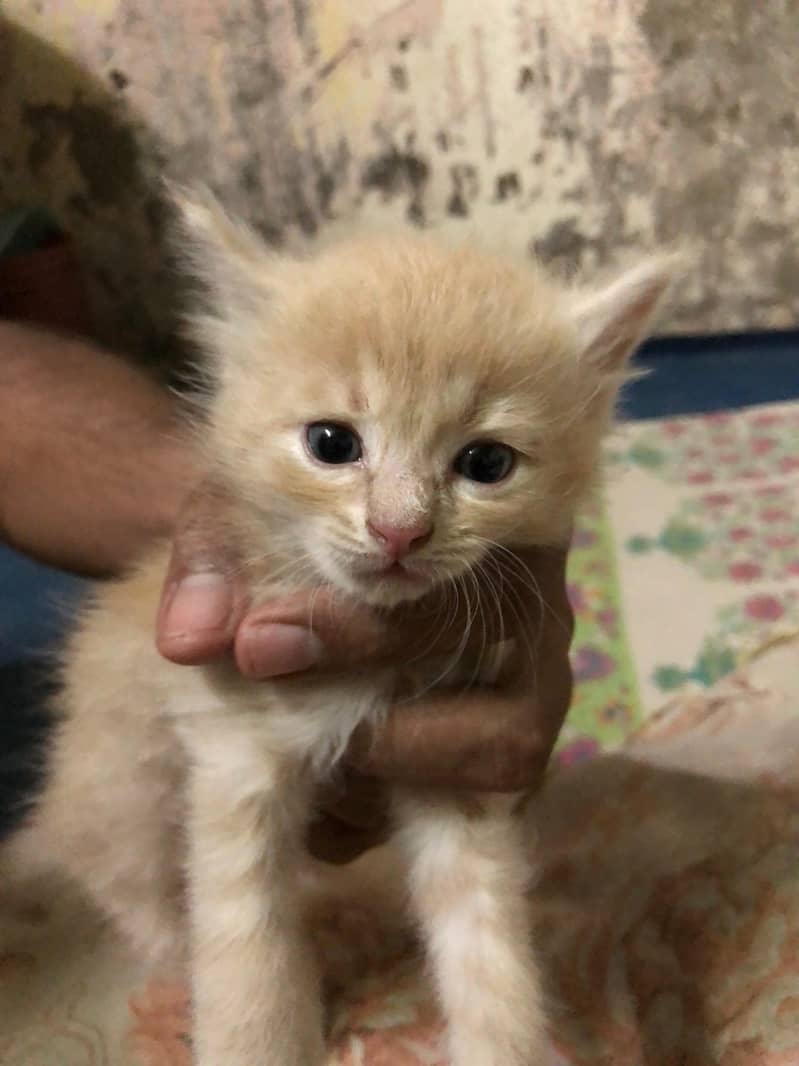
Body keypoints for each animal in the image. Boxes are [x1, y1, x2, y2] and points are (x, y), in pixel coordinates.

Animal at [6, 194, 673, 1066]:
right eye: (332, 444)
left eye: (486, 464)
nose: (399, 531)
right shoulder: (234, 753)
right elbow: (246, 959)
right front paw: (251, 1037)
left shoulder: (455, 760)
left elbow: (489, 950)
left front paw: (503, 1042)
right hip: (120, 783)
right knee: (130, 884)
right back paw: (176, 973)